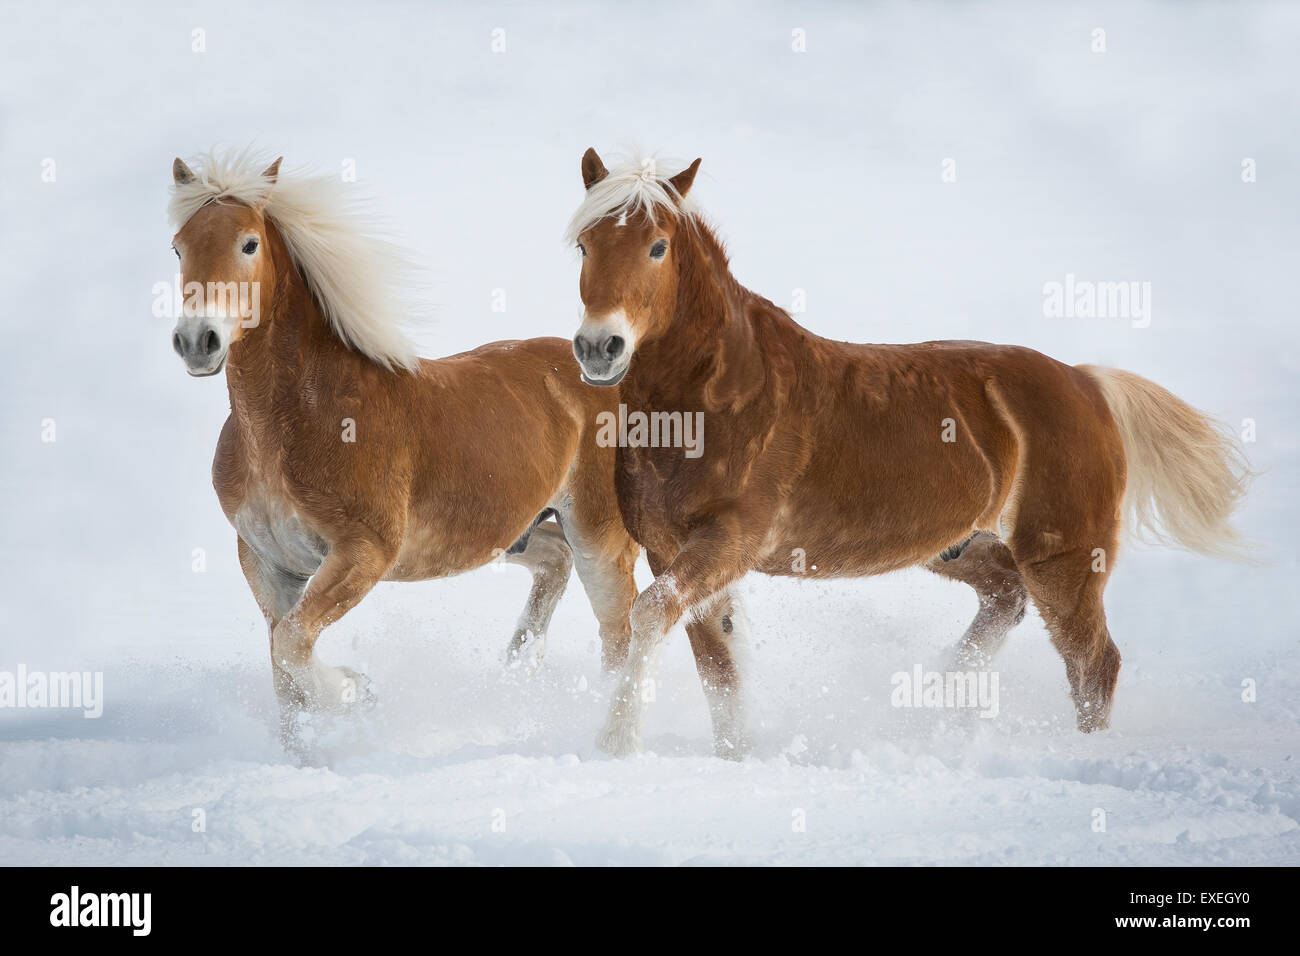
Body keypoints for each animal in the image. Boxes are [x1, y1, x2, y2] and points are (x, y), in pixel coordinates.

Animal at [166, 147, 644, 749]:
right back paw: (515, 673)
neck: (291, 424)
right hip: (515, 531)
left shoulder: (362, 553)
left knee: (620, 633)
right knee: (554, 562)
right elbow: (282, 665)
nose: (196, 341)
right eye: (178, 246)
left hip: (600, 538)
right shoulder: (266, 560)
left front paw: (355, 691)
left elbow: (293, 646)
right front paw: (306, 752)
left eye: (248, 243)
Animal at [566, 149, 1248, 759]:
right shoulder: (671, 549)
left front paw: (615, 745)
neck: (716, 397)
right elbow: (720, 669)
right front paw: (733, 757)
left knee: (1094, 664)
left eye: (658, 246)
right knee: (1007, 600)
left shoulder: (728, 541)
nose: (600, 346)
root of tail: (1086, 384)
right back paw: (937, 700)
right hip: (963, 545)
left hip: (1065, 556)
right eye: (584, 246)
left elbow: (652, 617)